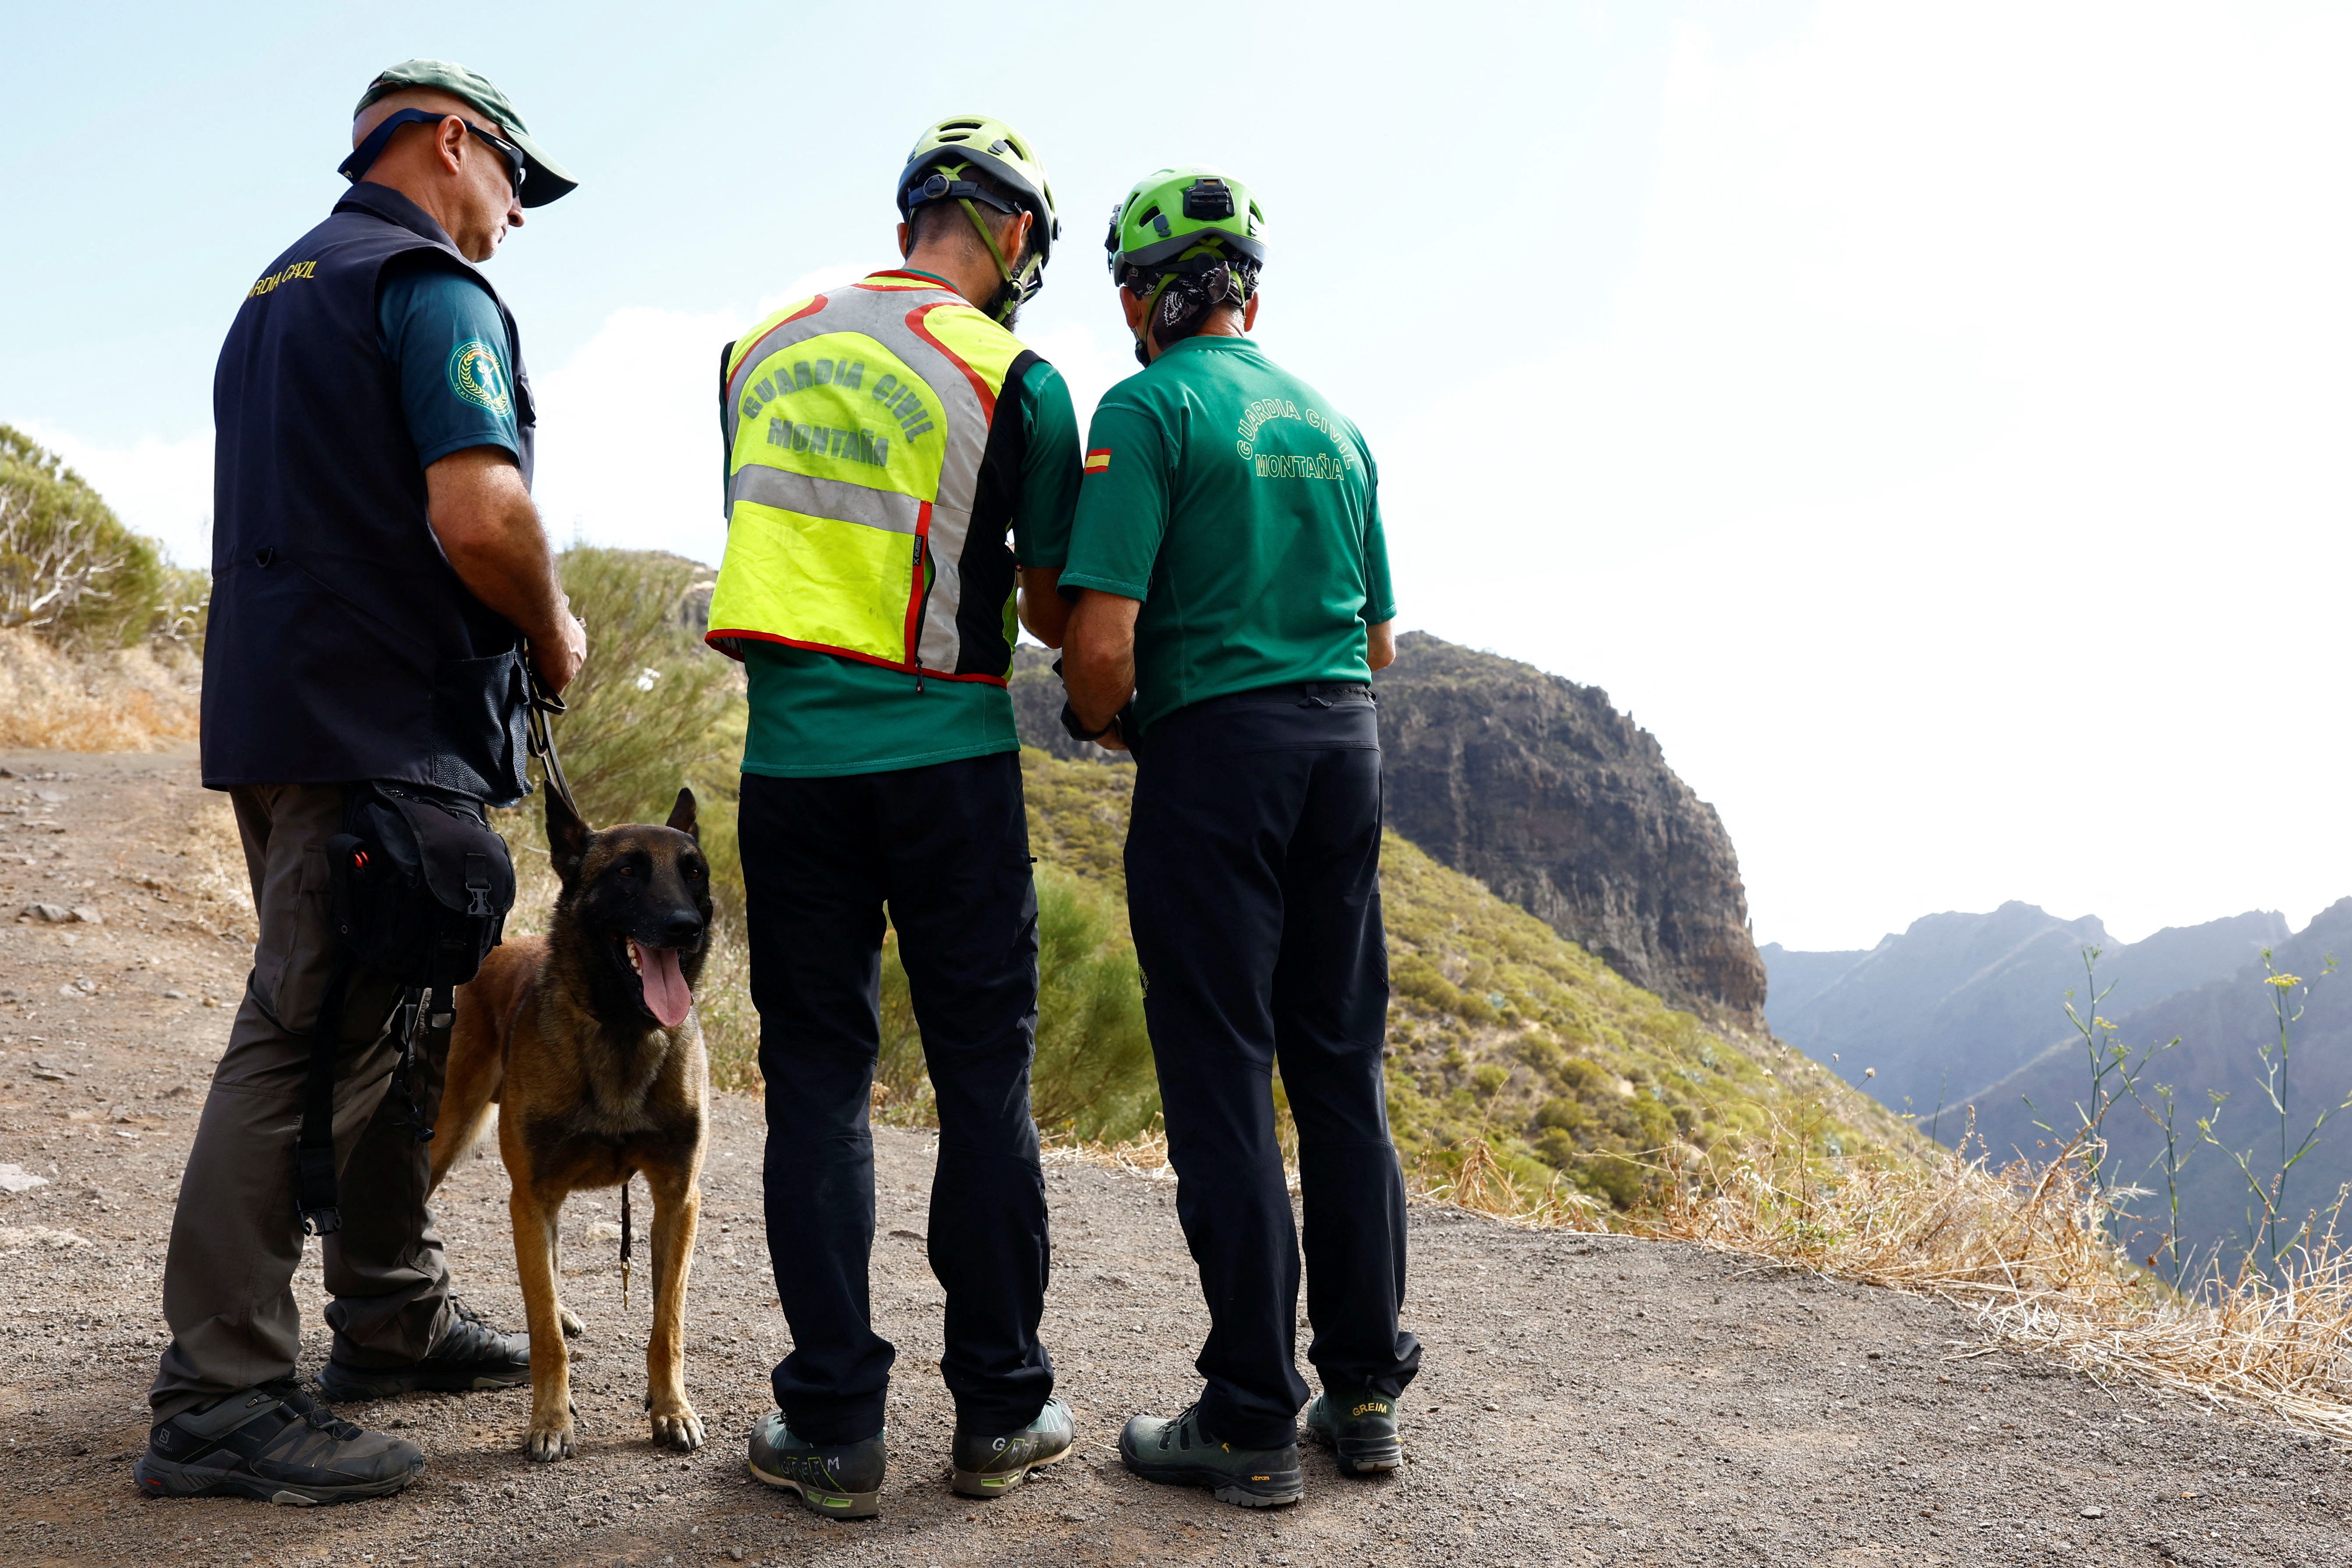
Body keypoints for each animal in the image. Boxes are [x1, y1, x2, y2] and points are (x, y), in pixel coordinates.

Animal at [428, 790, 710, 1467]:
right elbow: (542, 1332)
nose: (687, 925)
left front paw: (671, 1409)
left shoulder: (677, 1200)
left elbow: (668, 1322)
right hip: (446, 1135)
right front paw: (551, 1420)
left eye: (695, 872)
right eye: (629, 871)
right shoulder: (531, 1197)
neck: (623, 1028)